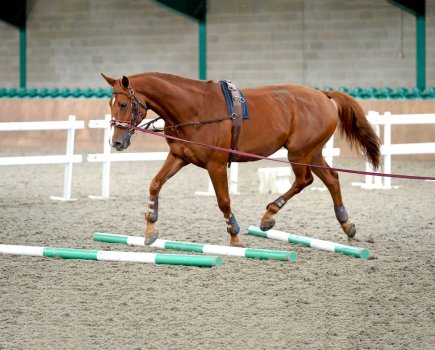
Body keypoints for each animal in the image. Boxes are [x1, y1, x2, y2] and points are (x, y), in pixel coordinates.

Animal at [103, 72, 382, 246]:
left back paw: (269, 215)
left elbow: (224, 201)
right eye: (110, 103)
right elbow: (155, 184)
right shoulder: (179, 157)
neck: (195, 107)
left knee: (305, 180)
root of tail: (322, 95)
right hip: (312, 153)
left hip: (299, 153)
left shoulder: (215, 165)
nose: (116, 142)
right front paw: (150, 229)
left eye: (124, 105)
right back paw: (346, 223)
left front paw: (235, 234)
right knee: (331, 179)